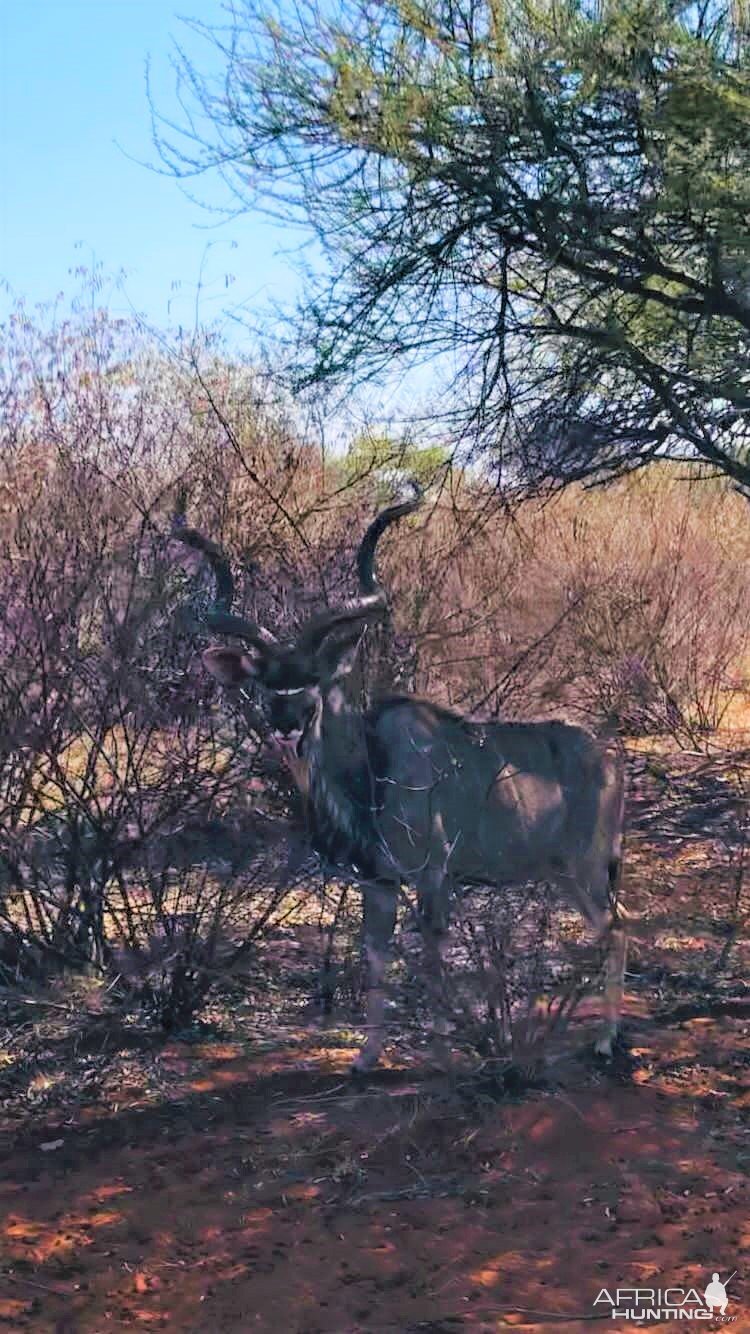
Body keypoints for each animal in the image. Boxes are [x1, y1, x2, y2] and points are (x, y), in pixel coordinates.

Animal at [174, 490, 624, 1072]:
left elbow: (432, 958)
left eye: (313, 681)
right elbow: (375, 958)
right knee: (614, 923)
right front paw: (367, 1057)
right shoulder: (378, 881)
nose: (286, 726)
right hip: (564, 872)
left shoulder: (432, 875)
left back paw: (607, 1040)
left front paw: (442, 1053)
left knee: (616, 928)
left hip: (585, 866)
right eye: (266, 682)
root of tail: (610, 756)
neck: (370, 770)